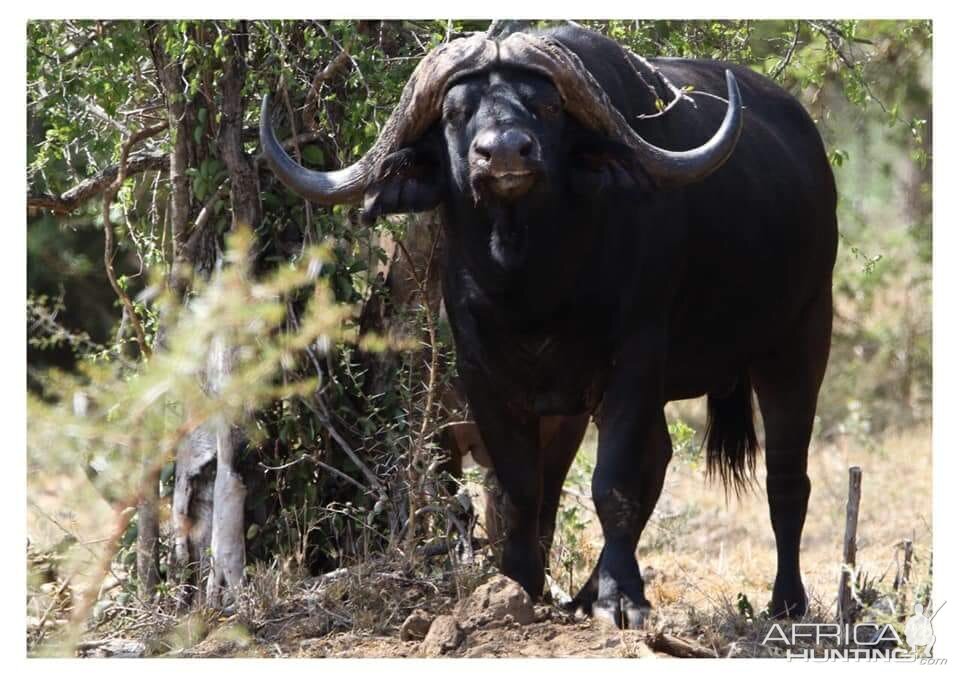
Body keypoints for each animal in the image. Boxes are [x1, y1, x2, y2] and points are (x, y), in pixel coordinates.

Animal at [258, 26, 836, 632]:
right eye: (455, 113)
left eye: (548, 106)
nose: (504, 152)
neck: (532, 286)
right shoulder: (488, 375)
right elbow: (521, 489)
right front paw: (519, 584)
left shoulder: (633, 358)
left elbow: (613, 484)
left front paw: (621, 597)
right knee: (655, 458)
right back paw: (583, 591)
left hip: (799, 341)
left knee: (786, 477)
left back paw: (786, 600)